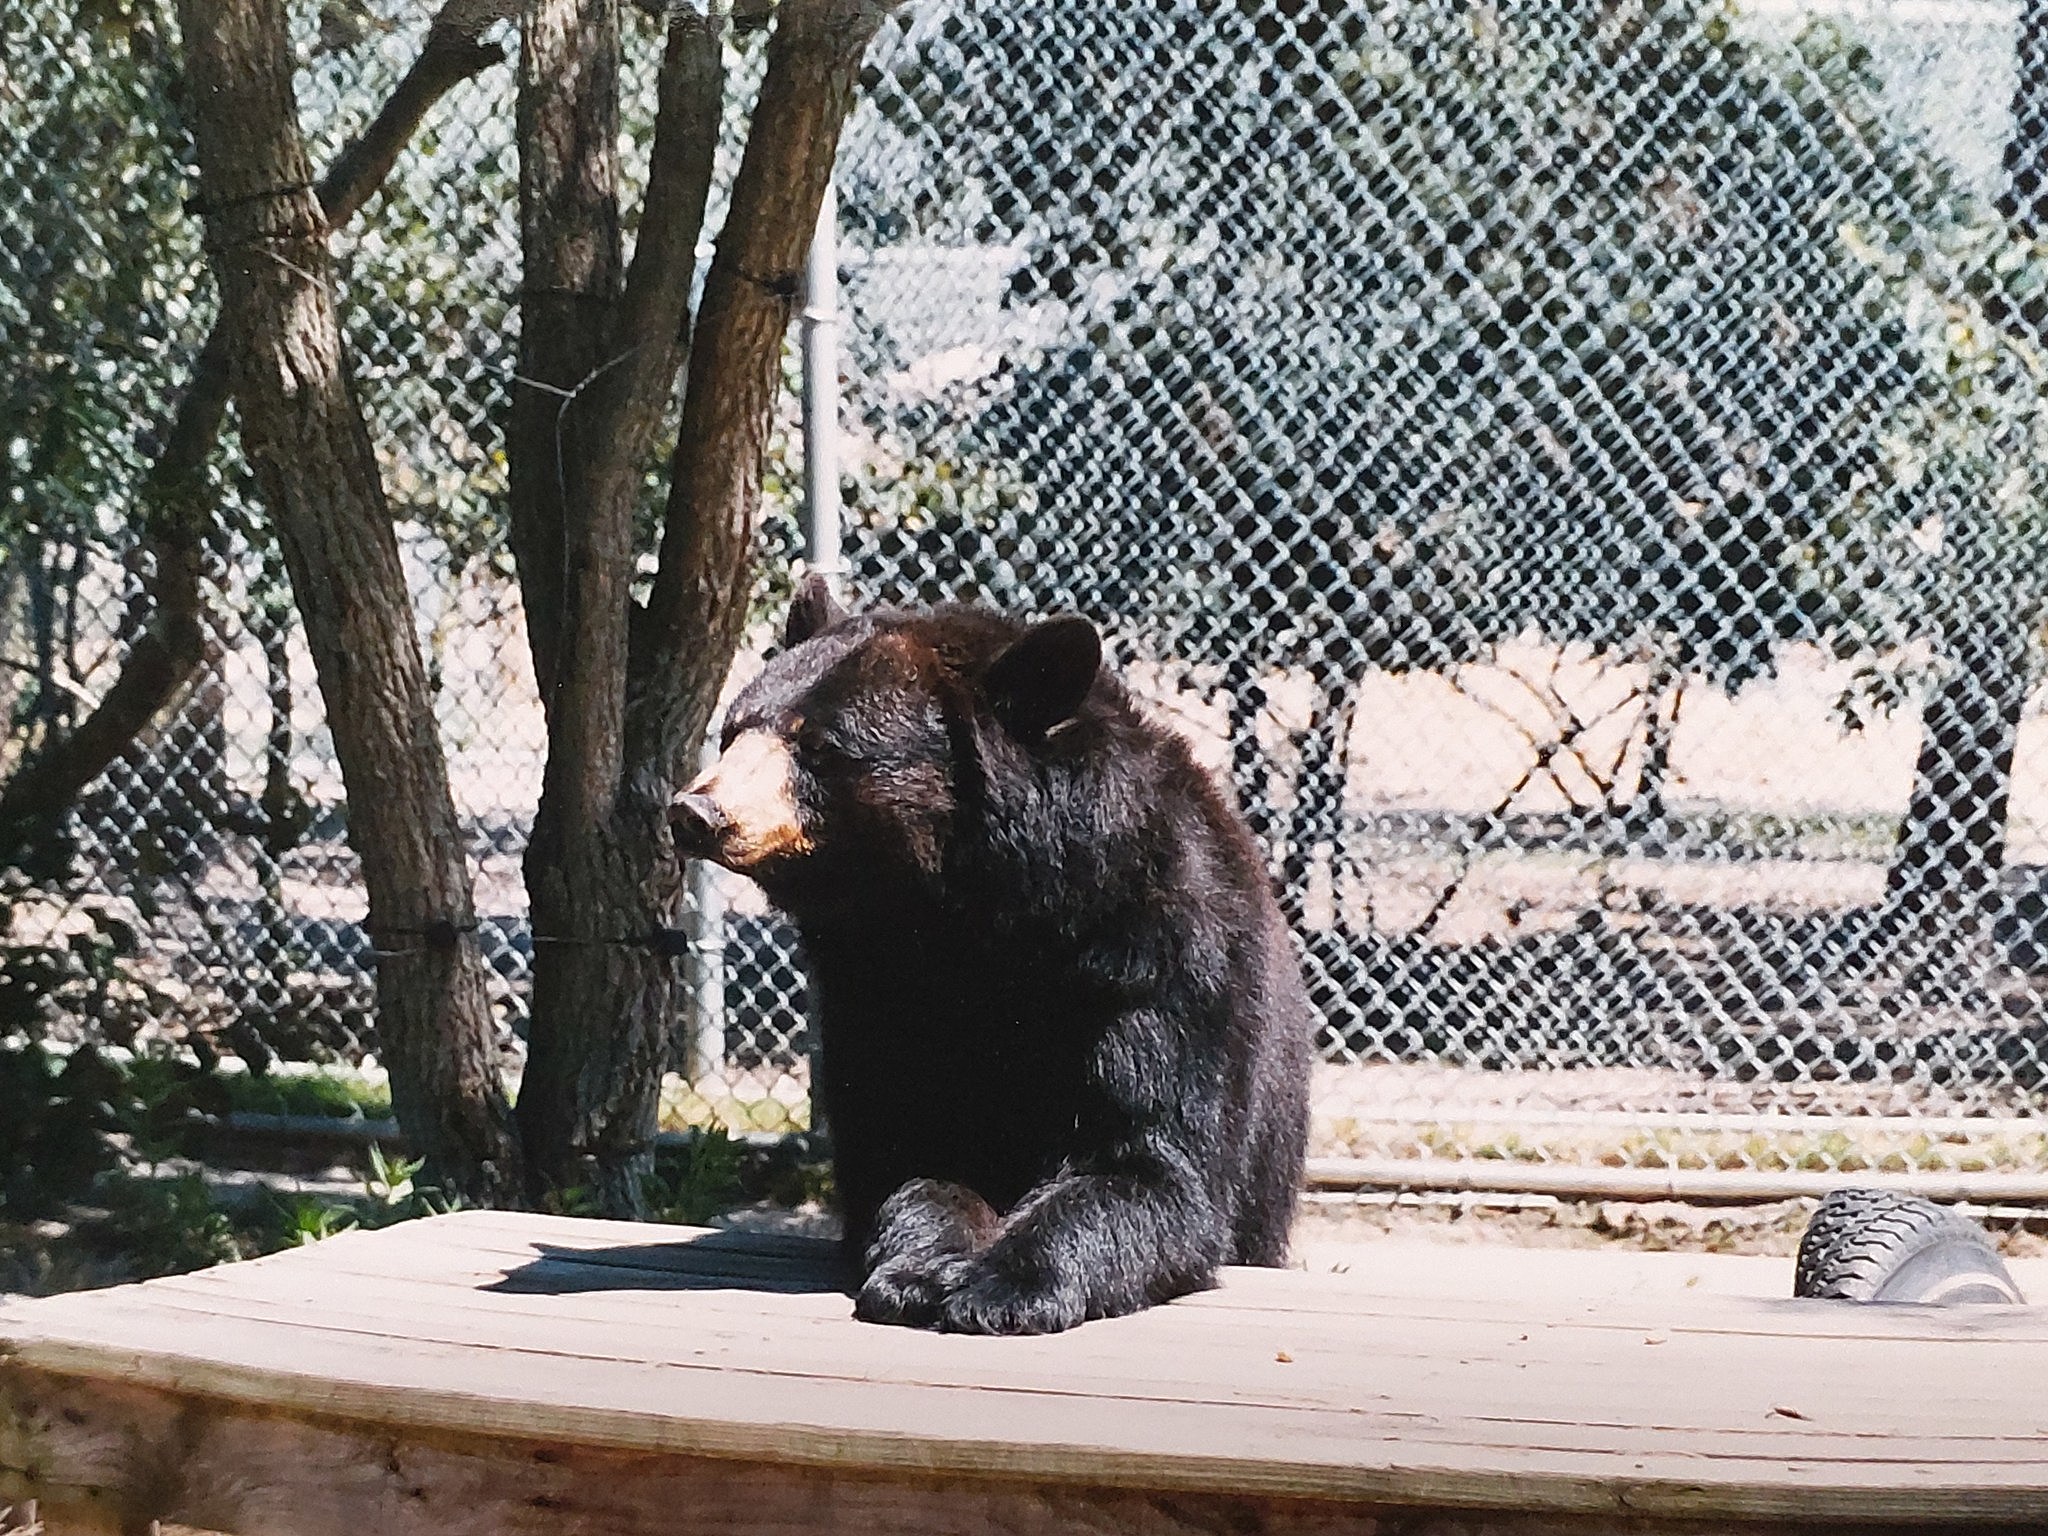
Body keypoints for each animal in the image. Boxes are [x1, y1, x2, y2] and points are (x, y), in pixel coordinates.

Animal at [671, 581, 1310, 1335]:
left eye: (820, 746)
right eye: (735, 729)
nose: (696, 811)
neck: (969, 921)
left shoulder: (1156, 966)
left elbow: (1150, 1162)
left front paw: (1003, 1286)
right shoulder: (872, 992)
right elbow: (907, 1151)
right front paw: (919, 1272)